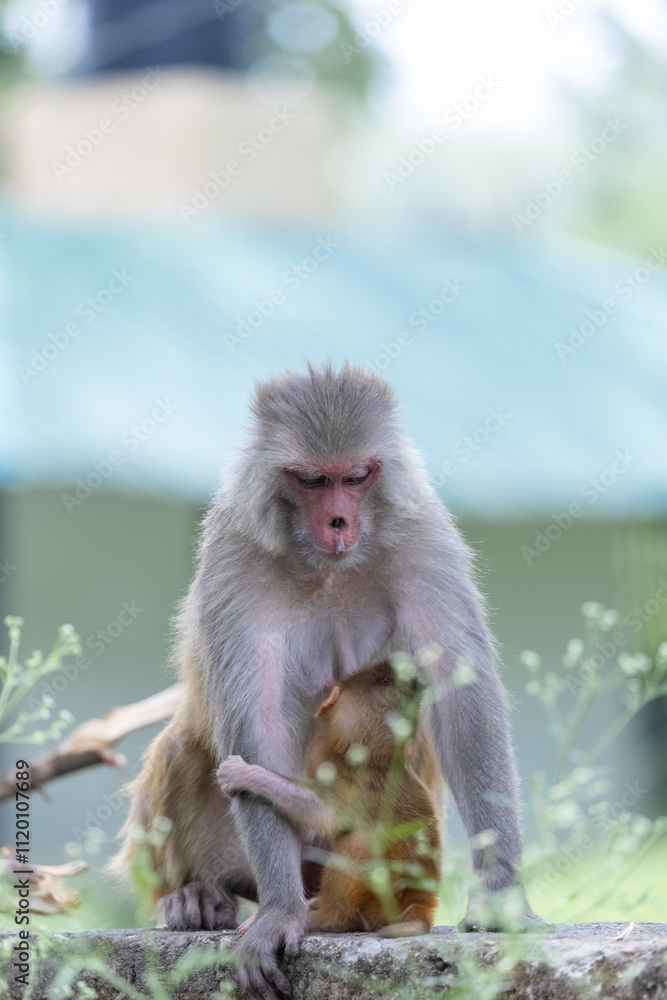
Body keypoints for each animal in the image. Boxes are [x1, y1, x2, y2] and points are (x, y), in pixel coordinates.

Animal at [217, 660, 441, 938]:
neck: (374, 757)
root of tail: (419, 908)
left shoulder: (333, 764)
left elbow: (325, 815)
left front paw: (245, 774)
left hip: (384, 903)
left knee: (359, 842)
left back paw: (327, 919)